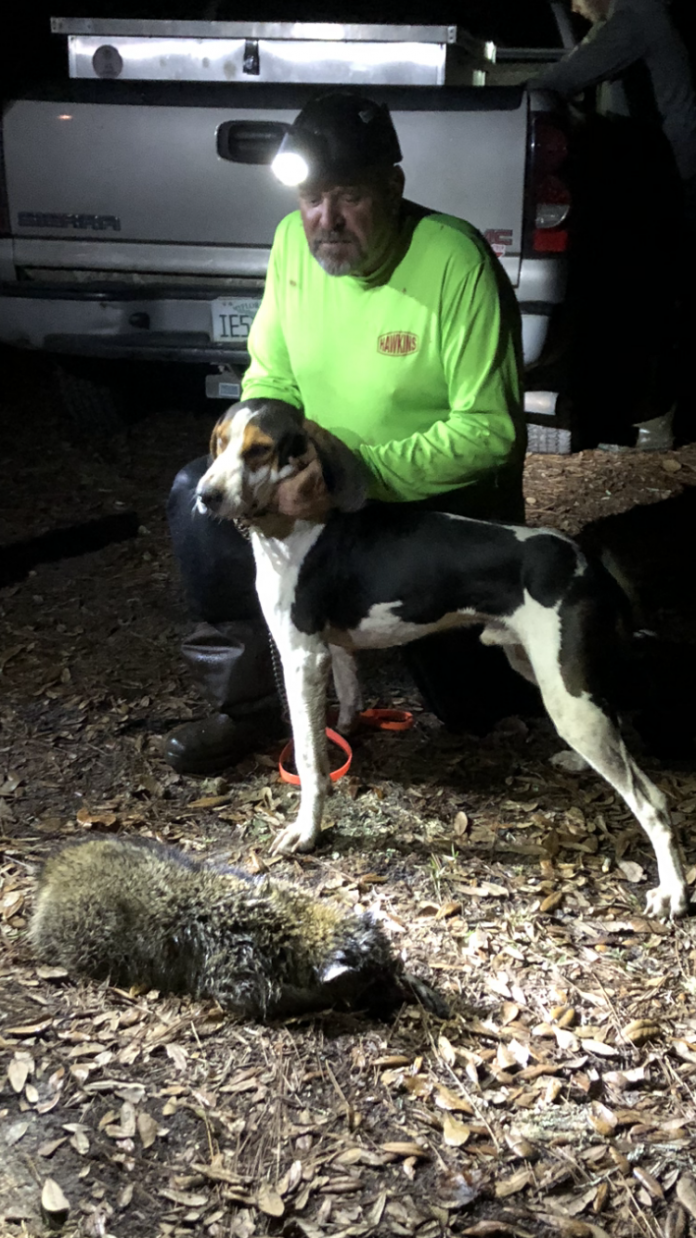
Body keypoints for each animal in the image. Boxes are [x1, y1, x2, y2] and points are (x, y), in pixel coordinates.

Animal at [28, 836, 443, 1020]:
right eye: (374, 980)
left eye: (389, 969)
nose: (396, 989)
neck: (292, 927)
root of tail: (53, 875)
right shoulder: (241, 982)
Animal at [193, 396, 683, 921]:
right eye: (220, 443)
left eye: (260, 450)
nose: (205, 496)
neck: (297, 527)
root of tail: (586, 562)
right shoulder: (333, 651)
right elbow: (345, 705)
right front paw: (347, 736)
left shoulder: (302, 657)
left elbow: (308, 758)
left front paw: (307, 830)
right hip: (541, 670)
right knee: (618, 724)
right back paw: (580, 762)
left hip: (567, 695)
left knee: (652, 799)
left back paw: (673, 890)